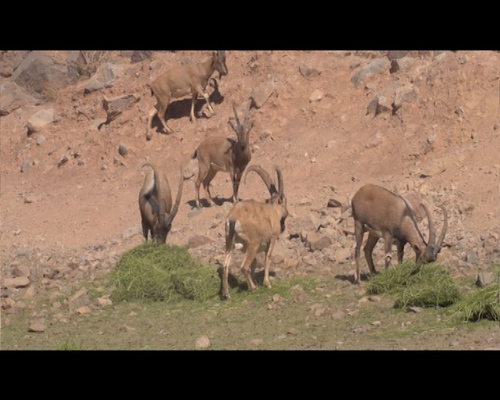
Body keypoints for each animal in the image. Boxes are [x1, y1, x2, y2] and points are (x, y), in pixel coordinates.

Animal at [223, 164, 290, 298]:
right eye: (284, 201)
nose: (283, 226)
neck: (273, 211)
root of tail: (233, 218)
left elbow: (254, 263)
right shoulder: (272, 239)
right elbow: (267, 257)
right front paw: (267, 284)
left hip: (230, 243)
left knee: (225, 266)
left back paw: (227, 294)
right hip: (254, 242)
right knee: (244, 267)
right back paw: (253, 288)